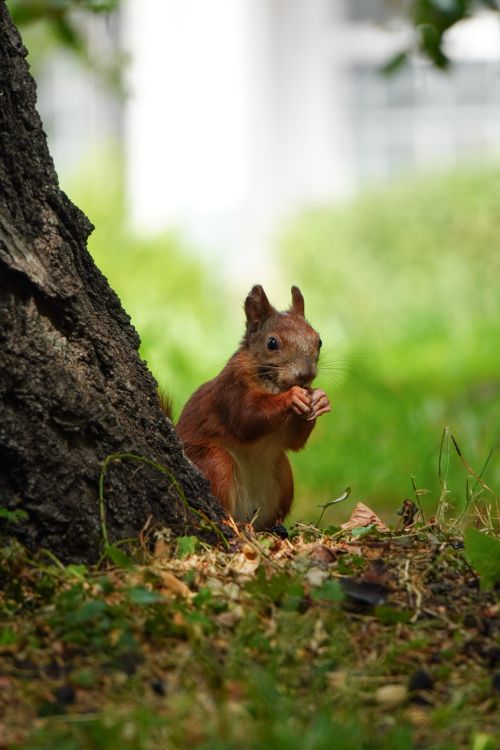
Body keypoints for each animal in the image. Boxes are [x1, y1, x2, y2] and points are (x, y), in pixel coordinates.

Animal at [175, 285, 330, 531]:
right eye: (272, 343)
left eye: (319, 341)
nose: (306, 374)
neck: (274, 385)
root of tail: (247, 515)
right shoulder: (231, 389)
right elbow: (247, 418)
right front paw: (292, 397)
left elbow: (294, 442)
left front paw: (321, 398)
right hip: (215, 463)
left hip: (283, 474)